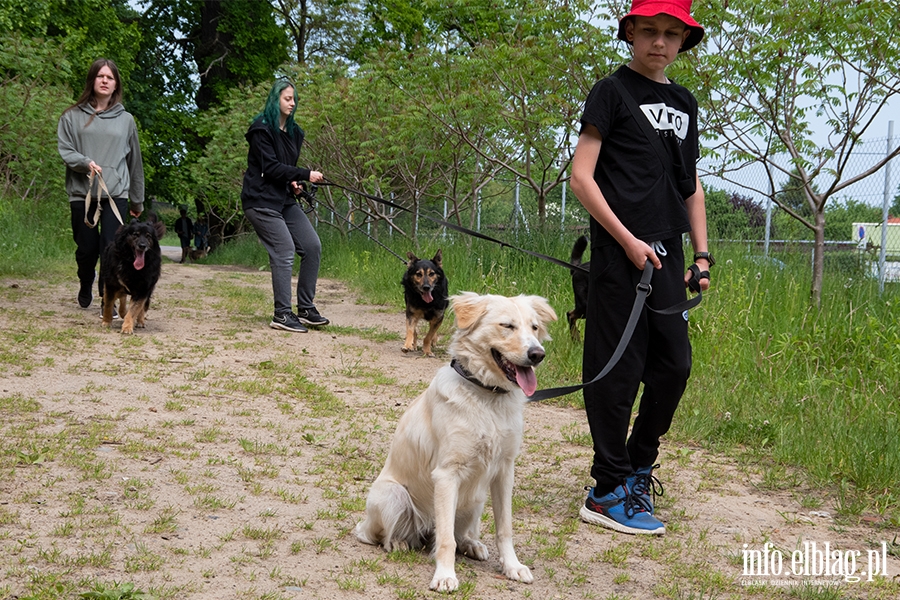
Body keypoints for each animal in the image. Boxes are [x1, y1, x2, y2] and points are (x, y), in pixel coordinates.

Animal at [356, 290, 556, 592]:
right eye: (507, 325)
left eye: (534, 327)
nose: (537, 354)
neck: (487, 398)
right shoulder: (447, 474)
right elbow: (445, 539)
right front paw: (445, 575)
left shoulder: (504, 471)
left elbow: (504, 528)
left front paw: (512, 566)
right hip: (393, 495)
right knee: (382, 536)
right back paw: (399, 542)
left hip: (475, 500)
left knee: (456, 533)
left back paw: (472, 544)